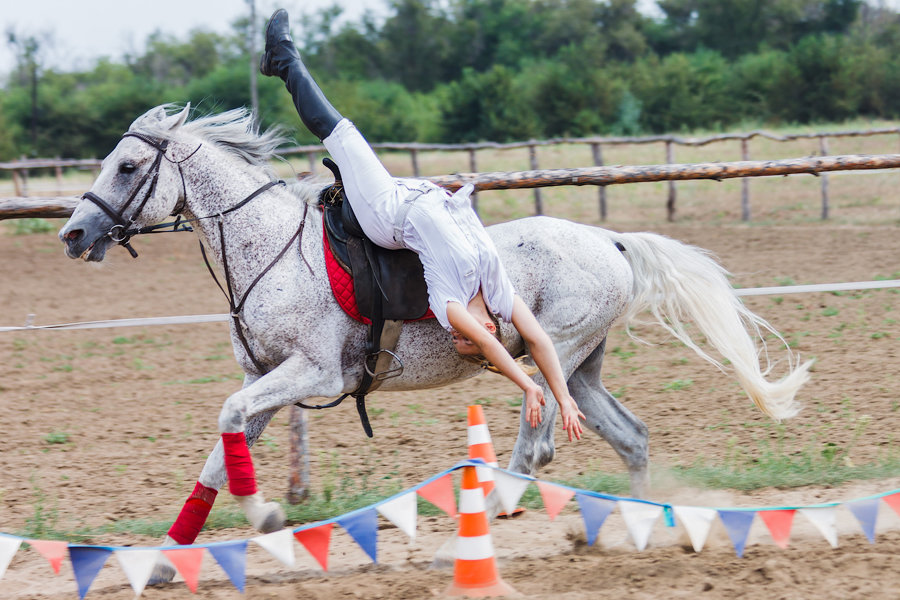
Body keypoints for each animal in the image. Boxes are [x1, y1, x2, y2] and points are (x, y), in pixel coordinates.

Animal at [58, 104, 816, 568]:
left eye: (127, 167)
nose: (74, 233)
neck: (270, 249)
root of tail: (611, 240)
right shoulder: (265, 381)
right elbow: (221, 455)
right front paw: (167, 560)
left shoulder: (311, 375)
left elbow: (228, 426)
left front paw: (268, 518)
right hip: (582, 369)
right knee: (630, 437)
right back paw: (635, 528)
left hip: (557, 355)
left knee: (536, 444)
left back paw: (489, 524)